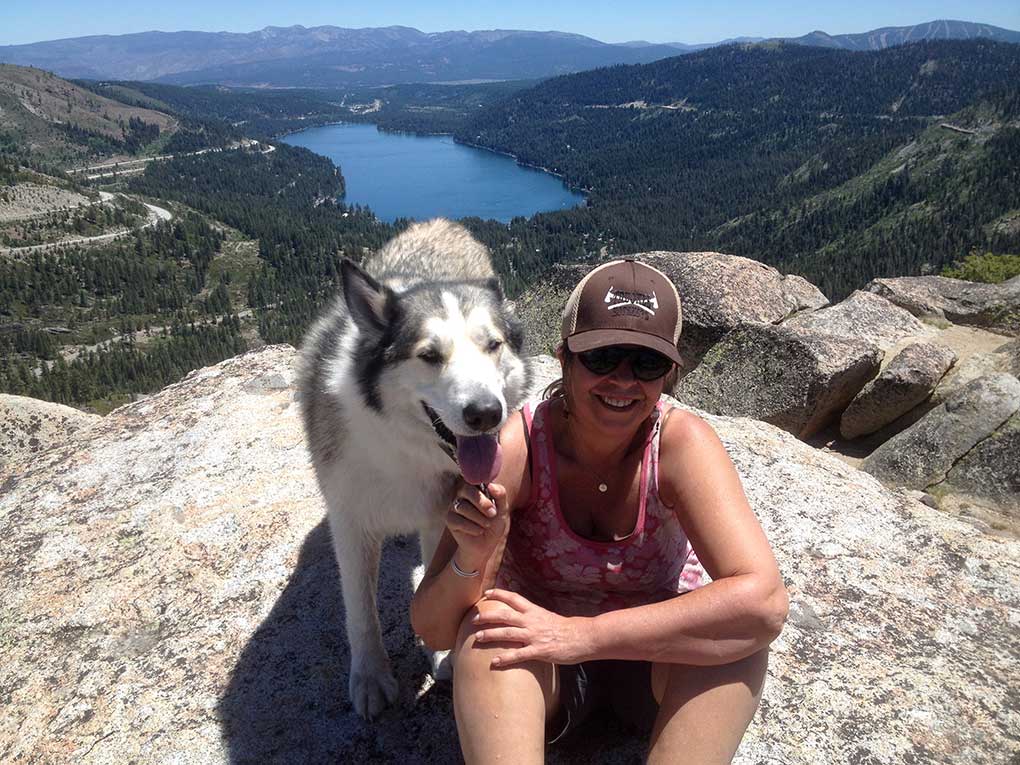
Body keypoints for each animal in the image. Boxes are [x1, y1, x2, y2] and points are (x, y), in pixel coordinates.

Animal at [297, 220, 530, 718]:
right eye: (429, 355)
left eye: (493, 345)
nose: (486, 413)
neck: (405, 450)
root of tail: (443, 221)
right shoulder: (350, 520)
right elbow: (360, 610)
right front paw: (370, 677)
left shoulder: (442, 514)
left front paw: (439, 652)